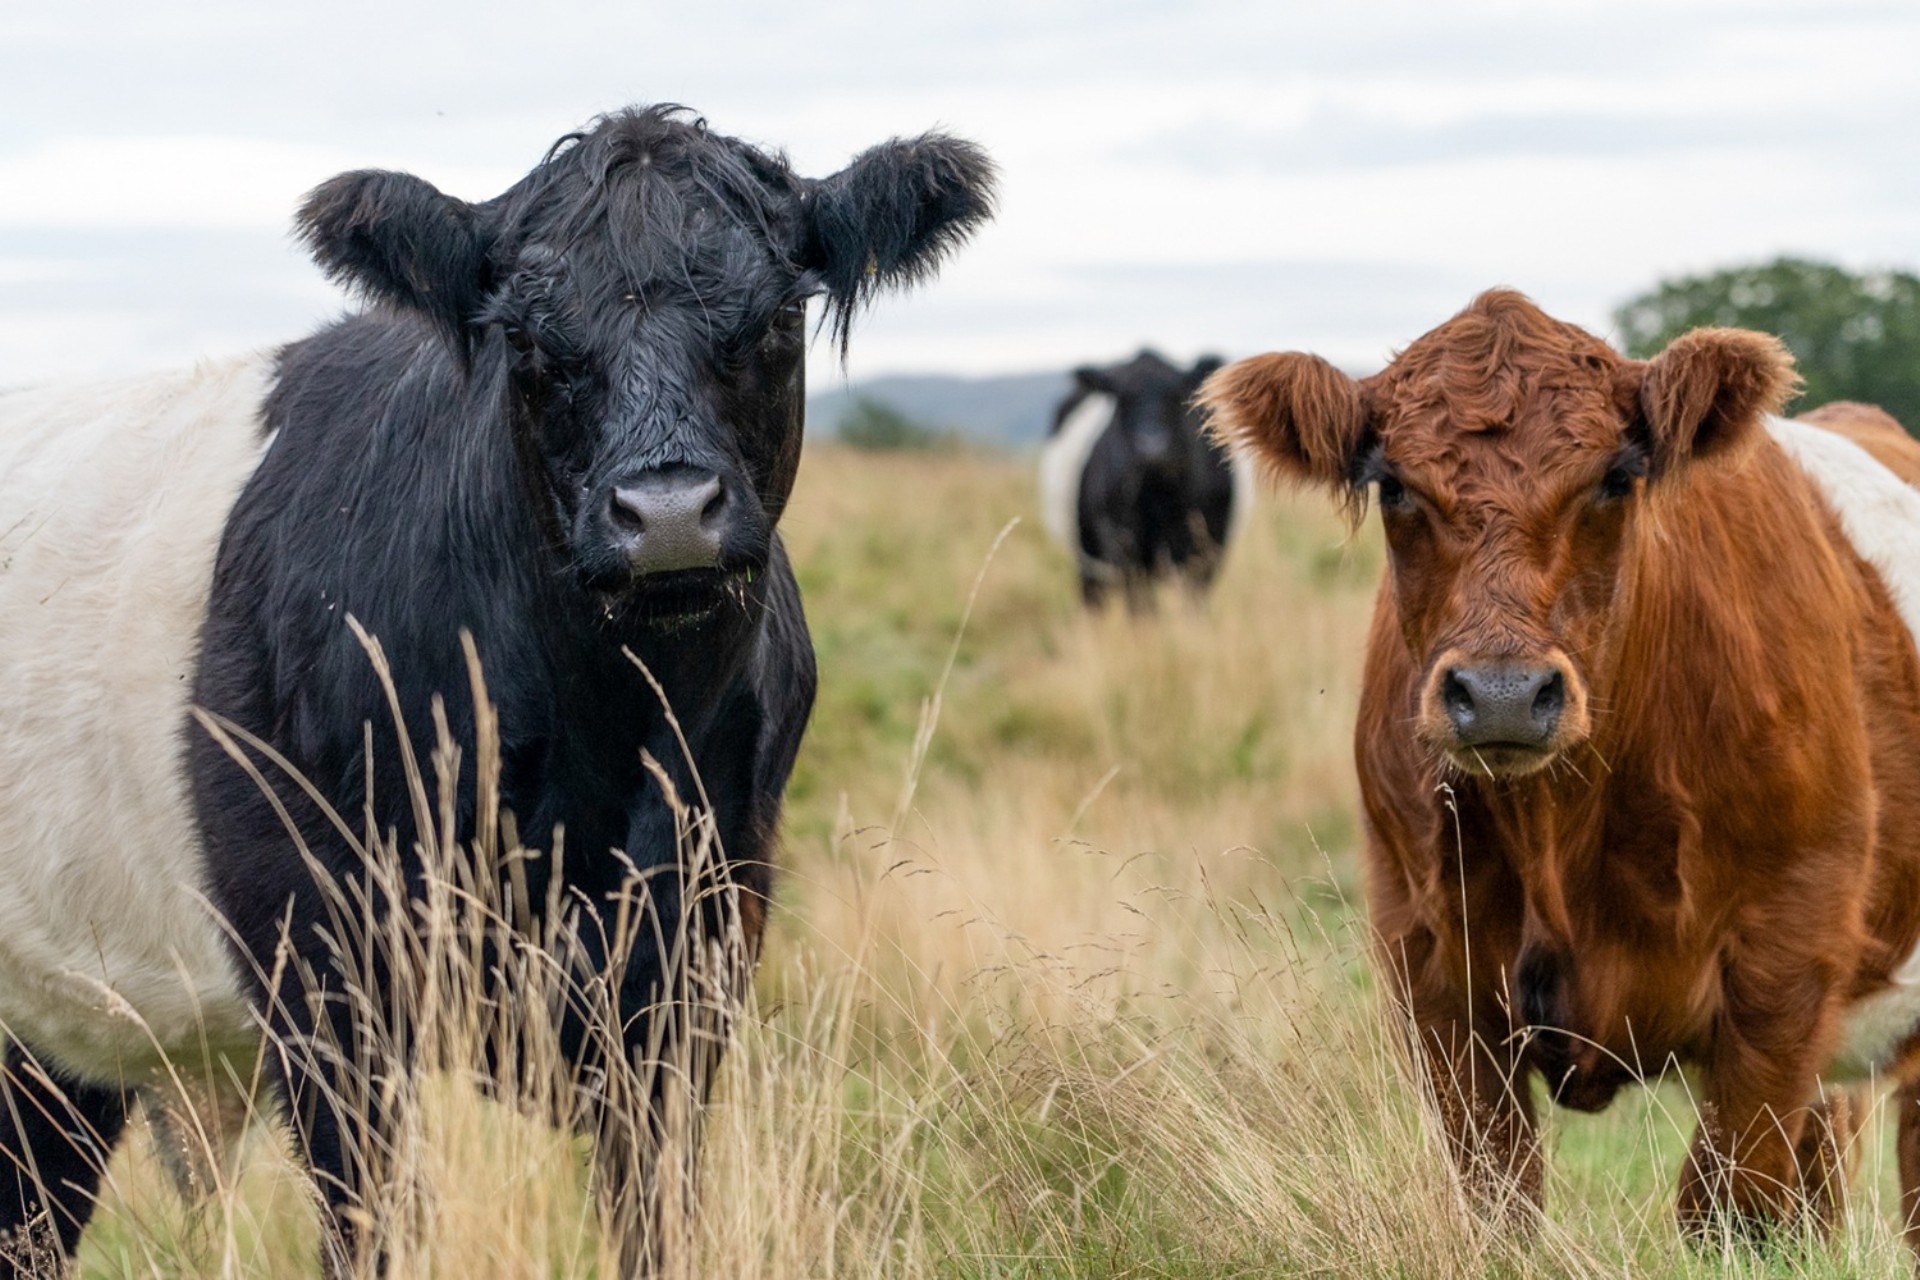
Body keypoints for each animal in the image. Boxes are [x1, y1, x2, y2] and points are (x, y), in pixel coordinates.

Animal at [0, 105, 990, 1274]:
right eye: (528, 341)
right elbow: (374, 1230)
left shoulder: (693, 966)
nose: (666, 514)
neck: (613, 752)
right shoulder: (328, 987)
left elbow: (654, 1220)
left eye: (777, 320)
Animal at [1036, 351, 1244, 610]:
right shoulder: (1125, 550)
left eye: (1174, 395)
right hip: (1088, 557)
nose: (1152, 446)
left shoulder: (1206, 549)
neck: (1157, 496)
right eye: (1123, 399)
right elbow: (1142, 607)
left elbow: (1193, 604)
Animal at [1198, 287, 1920, 1243]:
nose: (1503, 692)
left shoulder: (1786, 970)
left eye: (1616, 477)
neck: (1558, 834)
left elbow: (1726, 1205)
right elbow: (1498, 1203)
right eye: (1395, 484)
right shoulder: (1431, 972)